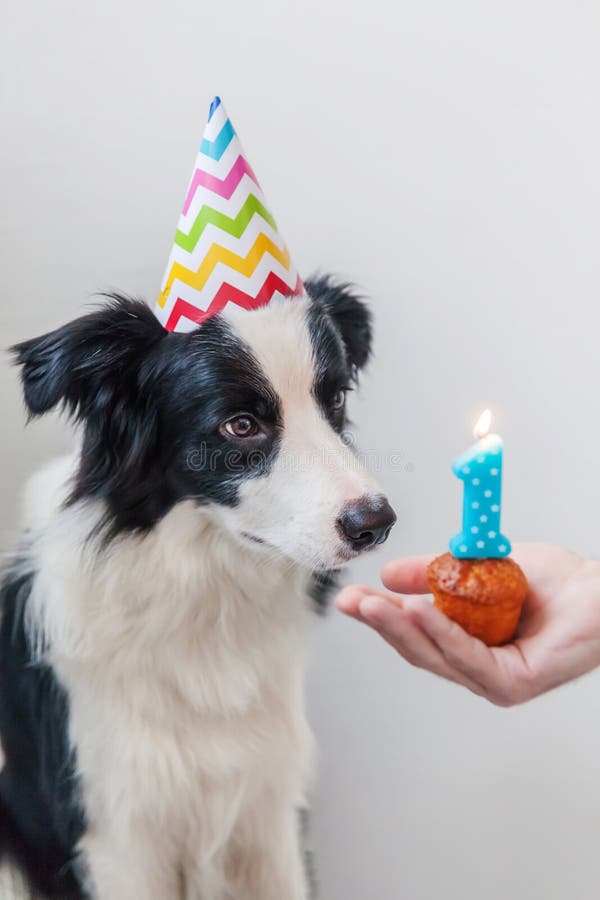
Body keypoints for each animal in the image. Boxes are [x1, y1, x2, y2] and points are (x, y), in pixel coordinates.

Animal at [0, 276, 396, 900]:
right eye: (241, 424)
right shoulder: (117, 828)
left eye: (333, 400)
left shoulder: (268, 808)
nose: (376, 523)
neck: (207, 598)